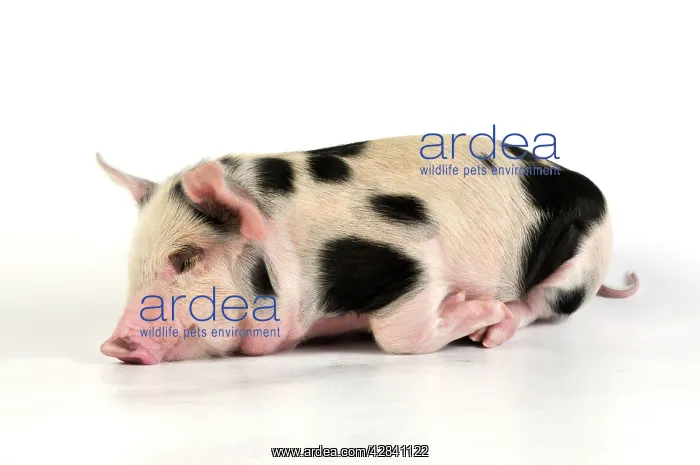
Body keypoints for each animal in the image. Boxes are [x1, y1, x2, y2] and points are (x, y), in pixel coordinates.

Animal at [96, 135, 639, 364]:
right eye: (132, 267)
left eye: (184, 259)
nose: (112, 345)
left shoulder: (408, 255)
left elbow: (396, 334)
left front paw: (473, 307)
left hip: (580, 264)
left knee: (540, 305)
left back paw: (492, 329)